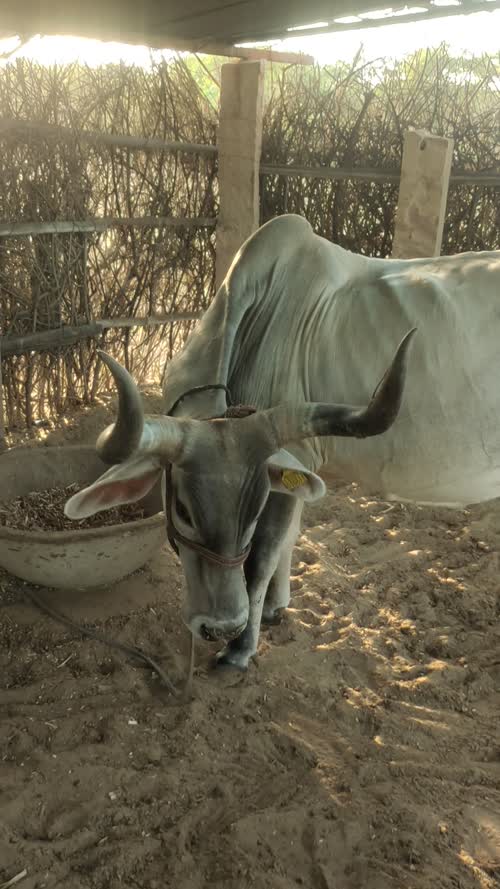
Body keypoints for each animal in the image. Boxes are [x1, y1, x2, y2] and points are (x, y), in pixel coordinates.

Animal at [65, 214, 500, 670]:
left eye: (253, 510)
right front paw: (274, 608)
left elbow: (262, 557)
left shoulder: (292, 463)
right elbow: (290, 539)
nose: (220, 627)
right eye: (182, 509)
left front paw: (240, 649)